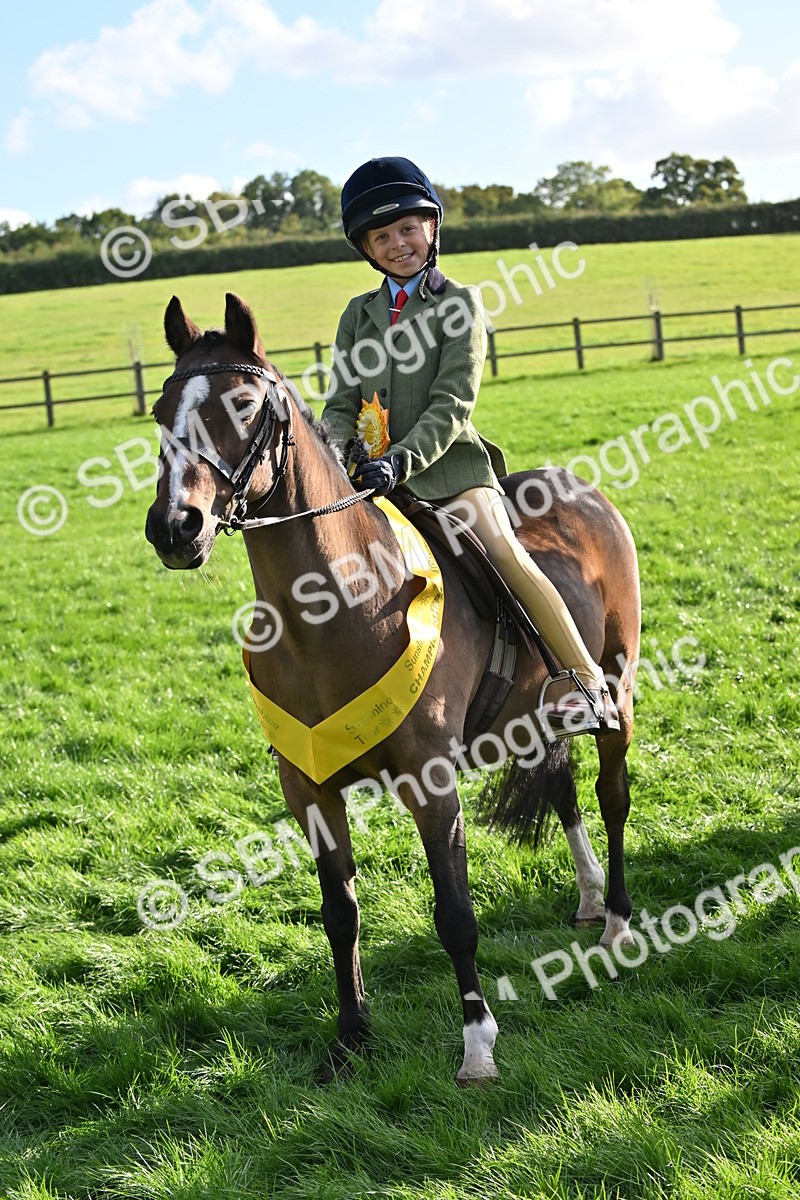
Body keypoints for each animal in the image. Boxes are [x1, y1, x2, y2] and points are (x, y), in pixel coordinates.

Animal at [145, 292, 641, 1085]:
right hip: (533, 718)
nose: (175, 527)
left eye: (244, 404)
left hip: (616, 688)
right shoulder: (308, 788)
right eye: (162, 408)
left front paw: (477, 1046)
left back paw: (619, 922)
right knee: (565, 791)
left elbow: (455, 913)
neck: (332, 608)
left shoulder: (432, 782)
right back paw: (592, 898)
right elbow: (339, 913)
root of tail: (581, 487)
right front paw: (351, 1036)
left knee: (611, 794)